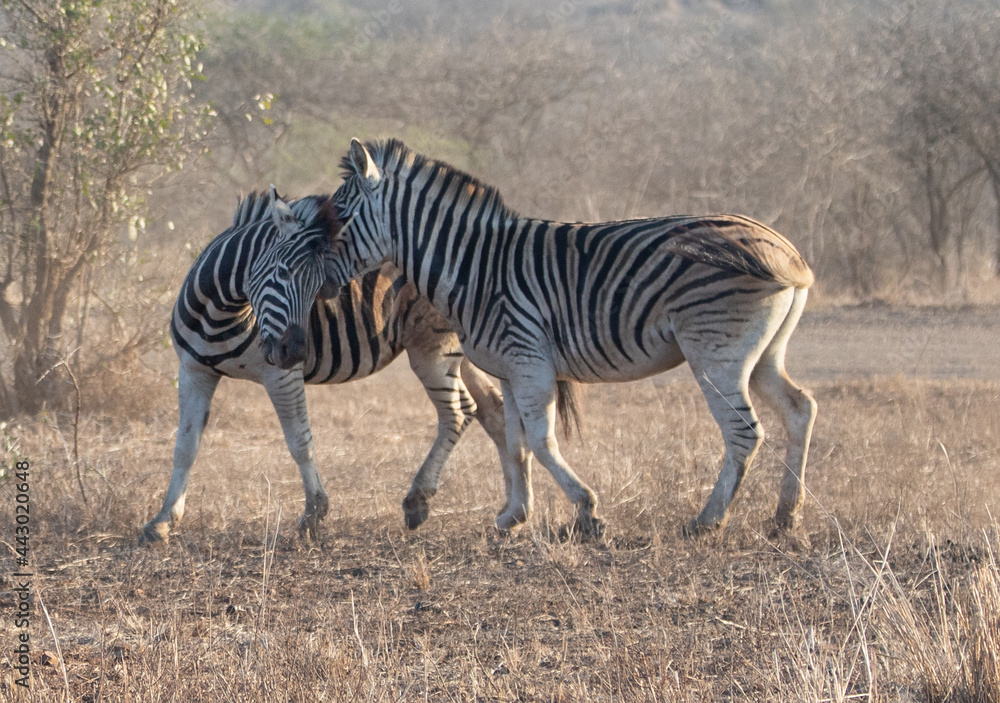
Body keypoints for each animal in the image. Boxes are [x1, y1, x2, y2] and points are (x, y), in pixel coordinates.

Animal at [139, 187, 510, 544]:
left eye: (319, 287)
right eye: (281, 273)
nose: (295, 352)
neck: (220, 309)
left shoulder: (281, 376)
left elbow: (300, 441)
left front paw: (314, 515)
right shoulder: (193, 370)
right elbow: (185, 446)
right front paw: (163, 521)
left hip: (431, 349)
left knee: (458, 412)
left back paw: (418, 501)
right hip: (458, 350)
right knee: (491, 408)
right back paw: (512, 514)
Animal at [308, 138, 818, 537]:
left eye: (341, 218)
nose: (319, 287)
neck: (474, 267)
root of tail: (786, 251)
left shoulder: (529, 360)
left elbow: (540, 441)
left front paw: (587, 512)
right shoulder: (510, 369)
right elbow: (515, 441)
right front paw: (513, 516)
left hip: (716, 354)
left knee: (743, 432)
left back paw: (708, 520)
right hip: (762, 355)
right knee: (799, 409)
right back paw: (784, 516)